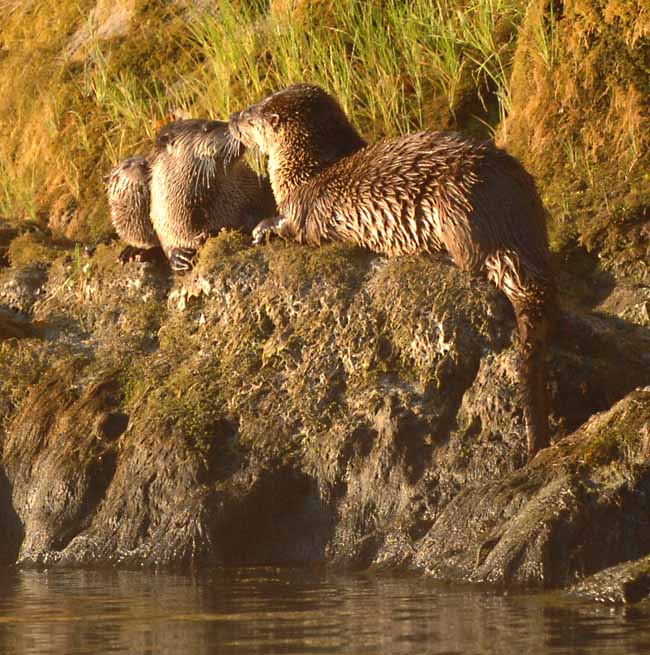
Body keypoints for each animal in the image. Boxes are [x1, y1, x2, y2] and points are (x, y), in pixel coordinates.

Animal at [149, 119, 276, 271]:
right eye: (207, 128)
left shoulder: (253, 194)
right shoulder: (166, 223)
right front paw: (178, 256)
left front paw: (215, 232)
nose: (235, 127)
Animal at [227, 83, 556, 460]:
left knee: (474, 260)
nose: (231, 118)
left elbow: (291, 227)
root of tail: (515, 222)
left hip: (455, 204)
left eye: (251, 115)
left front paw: (261, 229)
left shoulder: (301, 209)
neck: (304, 173)